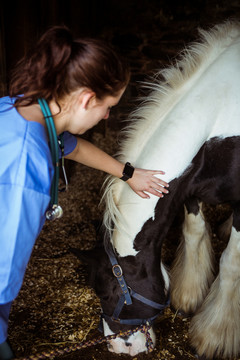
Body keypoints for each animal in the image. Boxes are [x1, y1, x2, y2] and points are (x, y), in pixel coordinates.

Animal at [71, 21, 240, 358]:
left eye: (108, 293)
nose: (118, 346)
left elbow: (230, 264)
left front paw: (212, 337)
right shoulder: (189, 188)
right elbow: (193, 232)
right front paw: (187, 296)